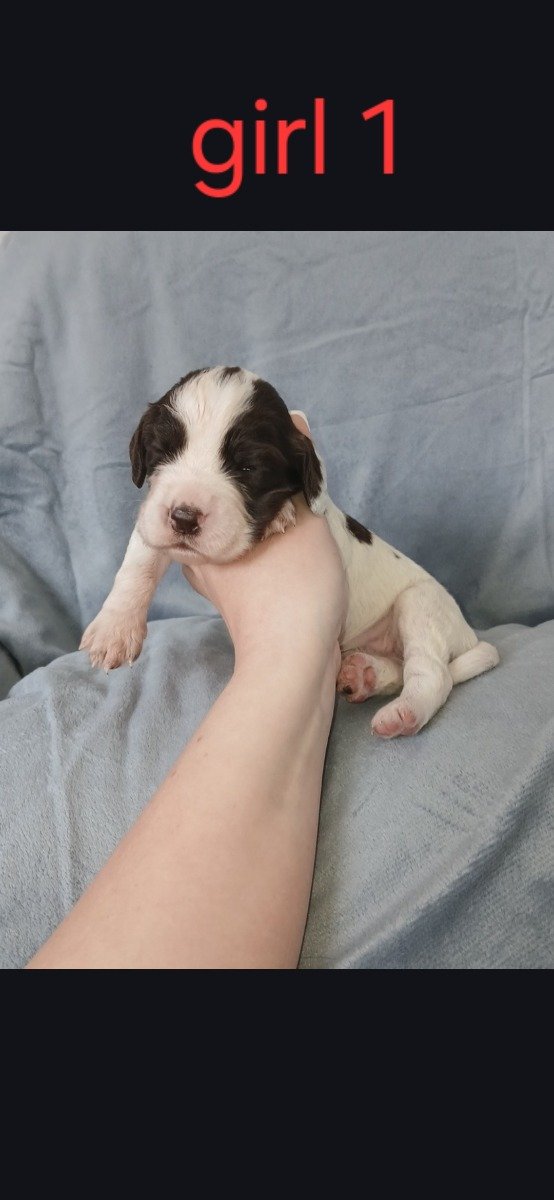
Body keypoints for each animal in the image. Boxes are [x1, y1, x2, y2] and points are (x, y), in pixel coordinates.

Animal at [81, 366, 499, 737]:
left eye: (248, 468)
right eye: (162, 452)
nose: (184, 517)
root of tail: (467, 634)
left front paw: (279, 514)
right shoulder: (153, 516)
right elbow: (140, 558)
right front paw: (115, 630)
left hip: (421, 603)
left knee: (432, 672)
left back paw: (404, 713)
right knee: (400, 668)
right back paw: (365, 674)